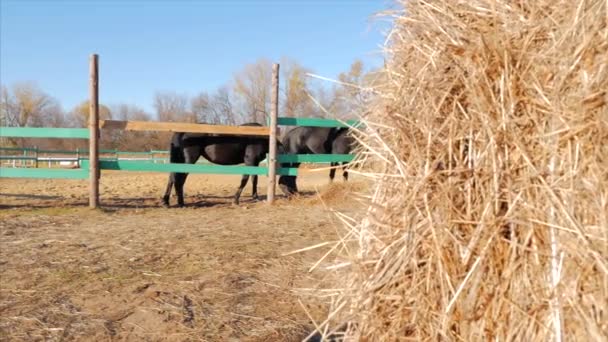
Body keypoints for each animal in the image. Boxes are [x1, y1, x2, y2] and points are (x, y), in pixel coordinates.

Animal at [160, 123, 290, 207]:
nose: (290, 193)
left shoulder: (254, 163)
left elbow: (254, 179)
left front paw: (255, 197)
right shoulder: (250, 161)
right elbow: (245, 180)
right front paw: (236, 200)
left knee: (172, 177)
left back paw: (166, 201)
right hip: (189, 161)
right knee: (179, 179)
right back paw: (181, 202)